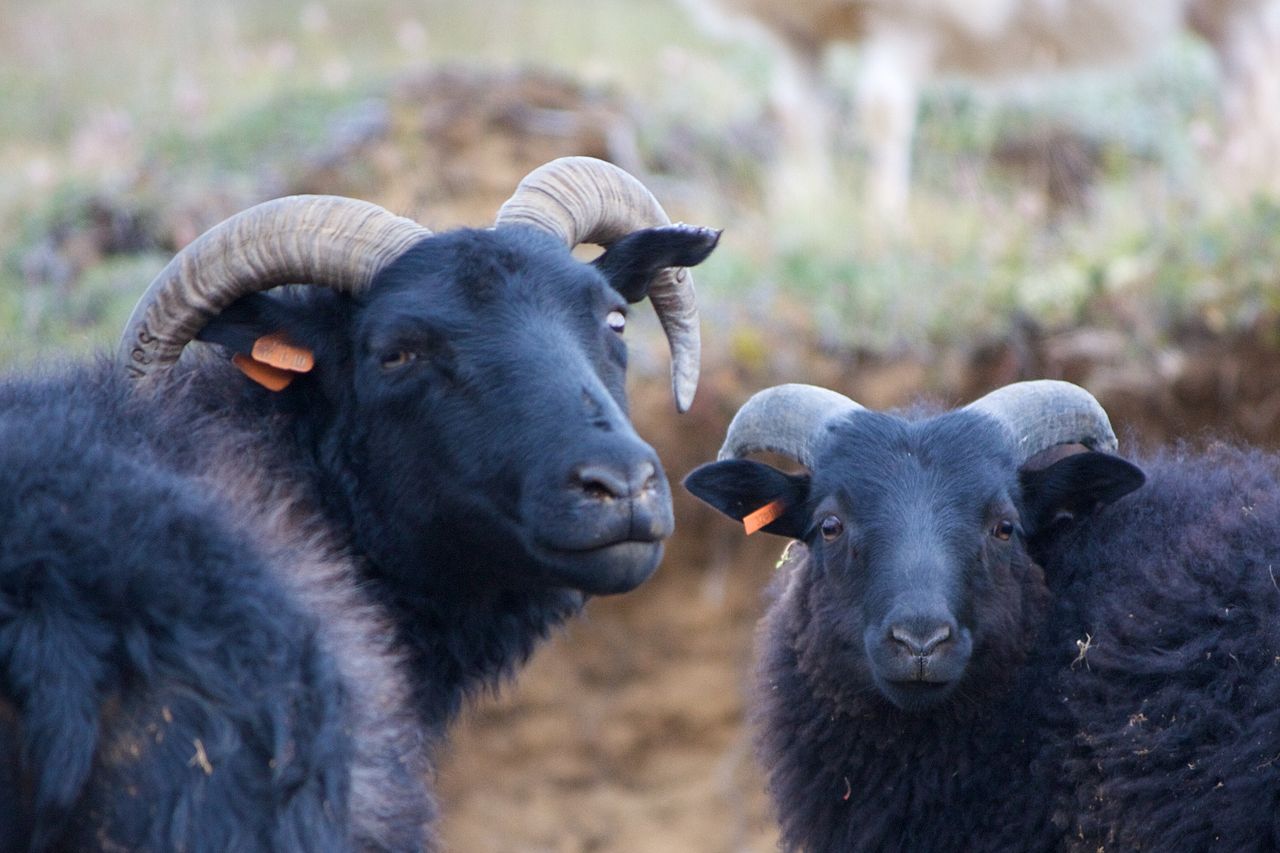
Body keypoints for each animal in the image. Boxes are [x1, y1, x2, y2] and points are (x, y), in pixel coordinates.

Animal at [677, 0, 1280, 216]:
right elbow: (798, 122)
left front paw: (882, 222)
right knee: (1249, 86)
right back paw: (1232, 193)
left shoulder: (909, 20)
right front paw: (807, 211)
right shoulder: (796, 31)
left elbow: (881, 113)